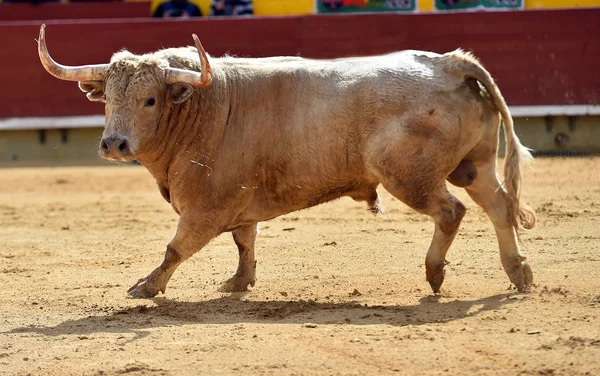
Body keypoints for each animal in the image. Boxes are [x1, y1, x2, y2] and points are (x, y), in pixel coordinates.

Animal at [37, 24, 536, 300]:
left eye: (150, 100)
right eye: (108, 99)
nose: (114, 144)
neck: (204, 102)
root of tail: (449, 63)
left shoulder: (206, 205)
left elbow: (176, 247)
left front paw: (147, 287)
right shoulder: (238, 202)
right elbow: (244, 241)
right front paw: (240, 282)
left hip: (409, 176)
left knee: (452, 211)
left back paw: (434, 273)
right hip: (473, 164)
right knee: (499, 205)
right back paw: (519, 272)